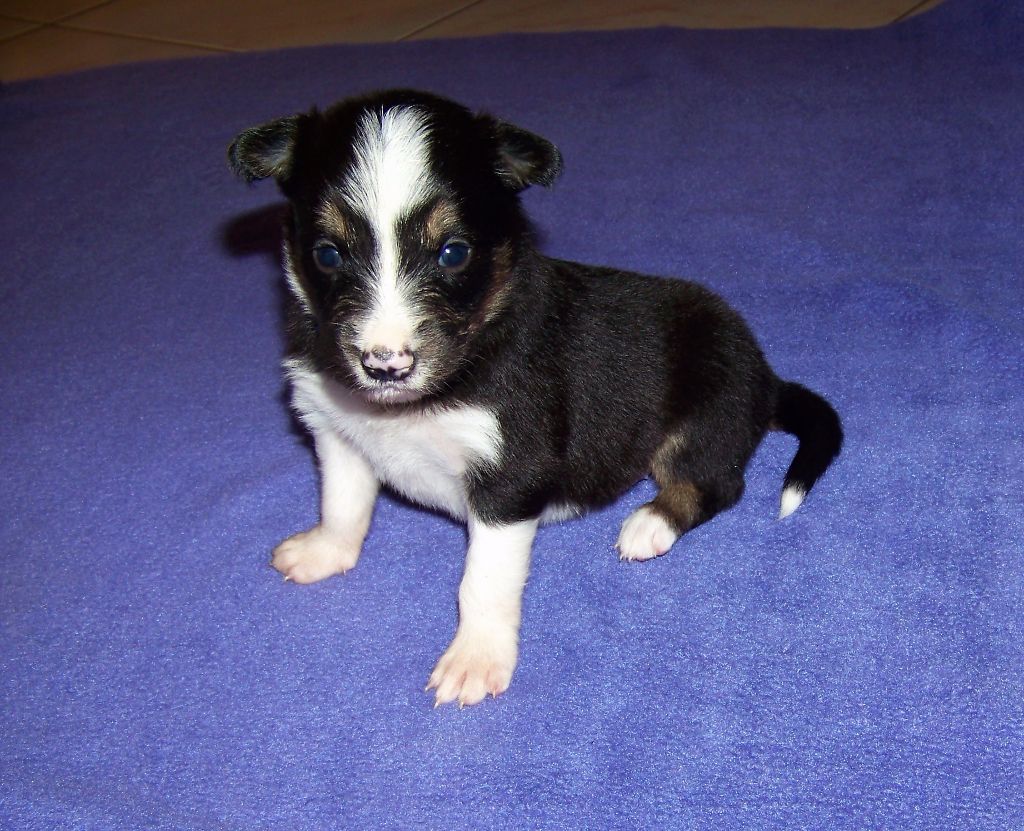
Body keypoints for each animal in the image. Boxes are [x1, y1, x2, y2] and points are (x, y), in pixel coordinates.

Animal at [228, 89, 843, 708]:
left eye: (453, 253)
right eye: (328, 255)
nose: (385, 365)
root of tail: (767, 379)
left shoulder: (509, 476)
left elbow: (482, 581)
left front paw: (474, 662)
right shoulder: (336, 430)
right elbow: (342, 504)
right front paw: (322, 552)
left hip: (704, 413)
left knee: (714, 483)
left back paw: (649, 524)